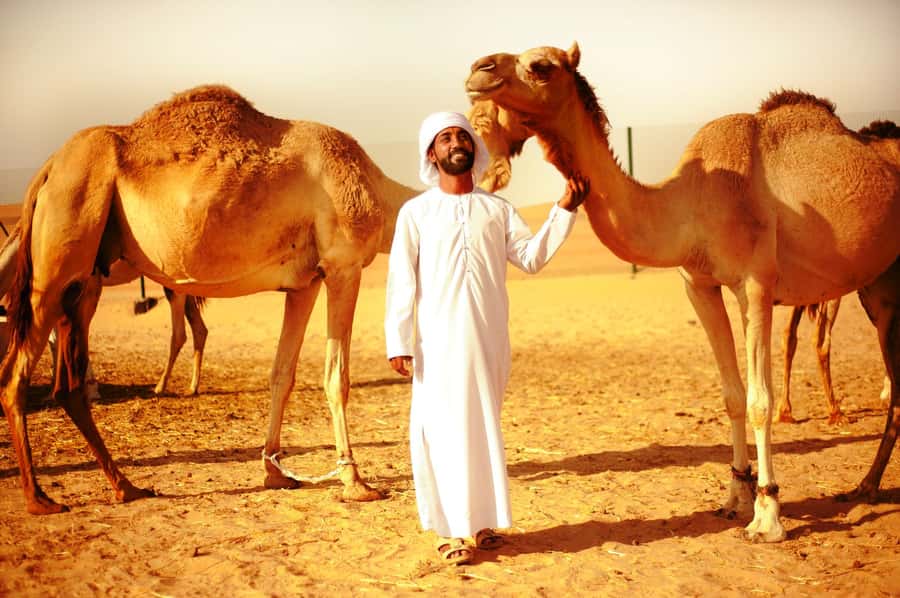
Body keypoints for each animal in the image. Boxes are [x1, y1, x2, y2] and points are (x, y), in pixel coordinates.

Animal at [0, 223, 208, 397]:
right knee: (199, 329)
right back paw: (192, 387)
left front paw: (90, 389)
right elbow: (54, 339)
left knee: (180, 333)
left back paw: (160, 387)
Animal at [465, 43, 900, 543]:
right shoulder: (699, 285)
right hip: (878, 288)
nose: (478, 69)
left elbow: (759, 401)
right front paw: (735, 497)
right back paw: (865, 486)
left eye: (541, 66)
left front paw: (767, 516)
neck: (690, 202)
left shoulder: (757, 284)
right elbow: (732, 395)